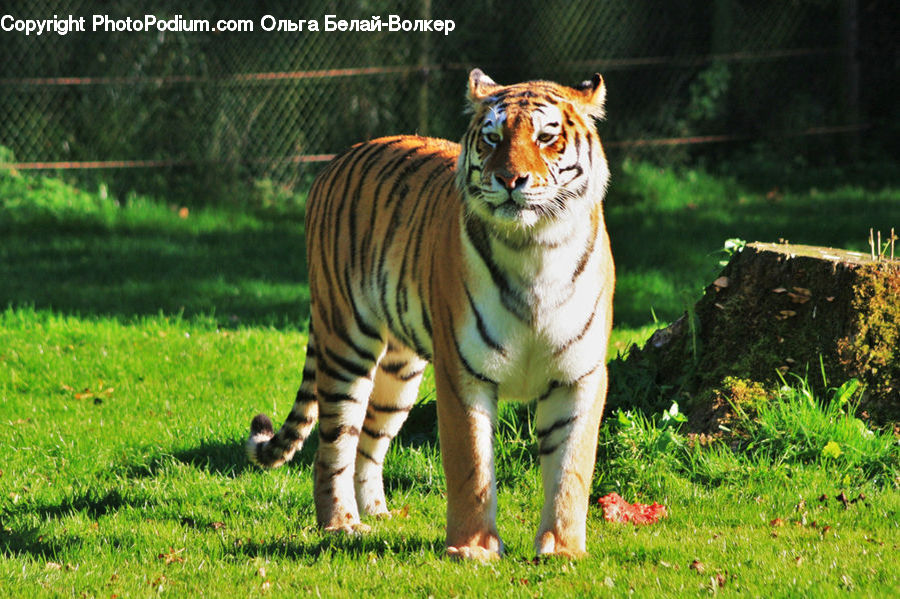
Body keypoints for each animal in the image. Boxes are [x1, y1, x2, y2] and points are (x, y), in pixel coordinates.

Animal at [246, 68, 614, 560]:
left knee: (369, 441)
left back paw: (378, 512)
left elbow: (571, 467)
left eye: (546, 137)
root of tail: (335, 161)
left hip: (400, 372)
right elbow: (471, 464)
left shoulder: (580, 374)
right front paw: (473, 548)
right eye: (493, 138)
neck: (536, 249)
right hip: (345, 342)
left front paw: (562, 549)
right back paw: (342, 524)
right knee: (334, 446)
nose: (510, 179)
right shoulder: (463, 371)